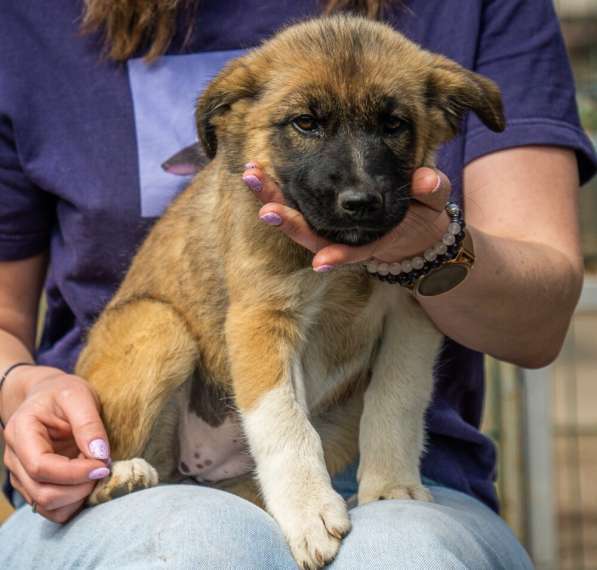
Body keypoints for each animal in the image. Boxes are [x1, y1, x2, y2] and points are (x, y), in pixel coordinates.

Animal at [75, 15, 502, 564]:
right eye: (305, 123)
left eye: (394, 125)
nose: (360, 202)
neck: (349, 266)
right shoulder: (261, 317)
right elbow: (283, 422)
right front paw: (309, 511)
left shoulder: (411, 315)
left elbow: (396, 397)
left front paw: (390, 486)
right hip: (158, 323)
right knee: (93, 481)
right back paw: (120, 477)